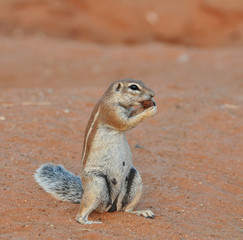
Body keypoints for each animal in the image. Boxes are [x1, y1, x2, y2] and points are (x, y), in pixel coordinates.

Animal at [34, 79, 158, 224]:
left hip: (134, 178)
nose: (152, 94)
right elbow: (126, 123)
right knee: (80, 215)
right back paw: (90, 222)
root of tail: (110, 206)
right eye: (134, 87)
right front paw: (149, 110)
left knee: (126, 209)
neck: (113, 99)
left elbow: (132, 115)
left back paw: (141, 212)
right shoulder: (111, 112)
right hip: (96, 183)